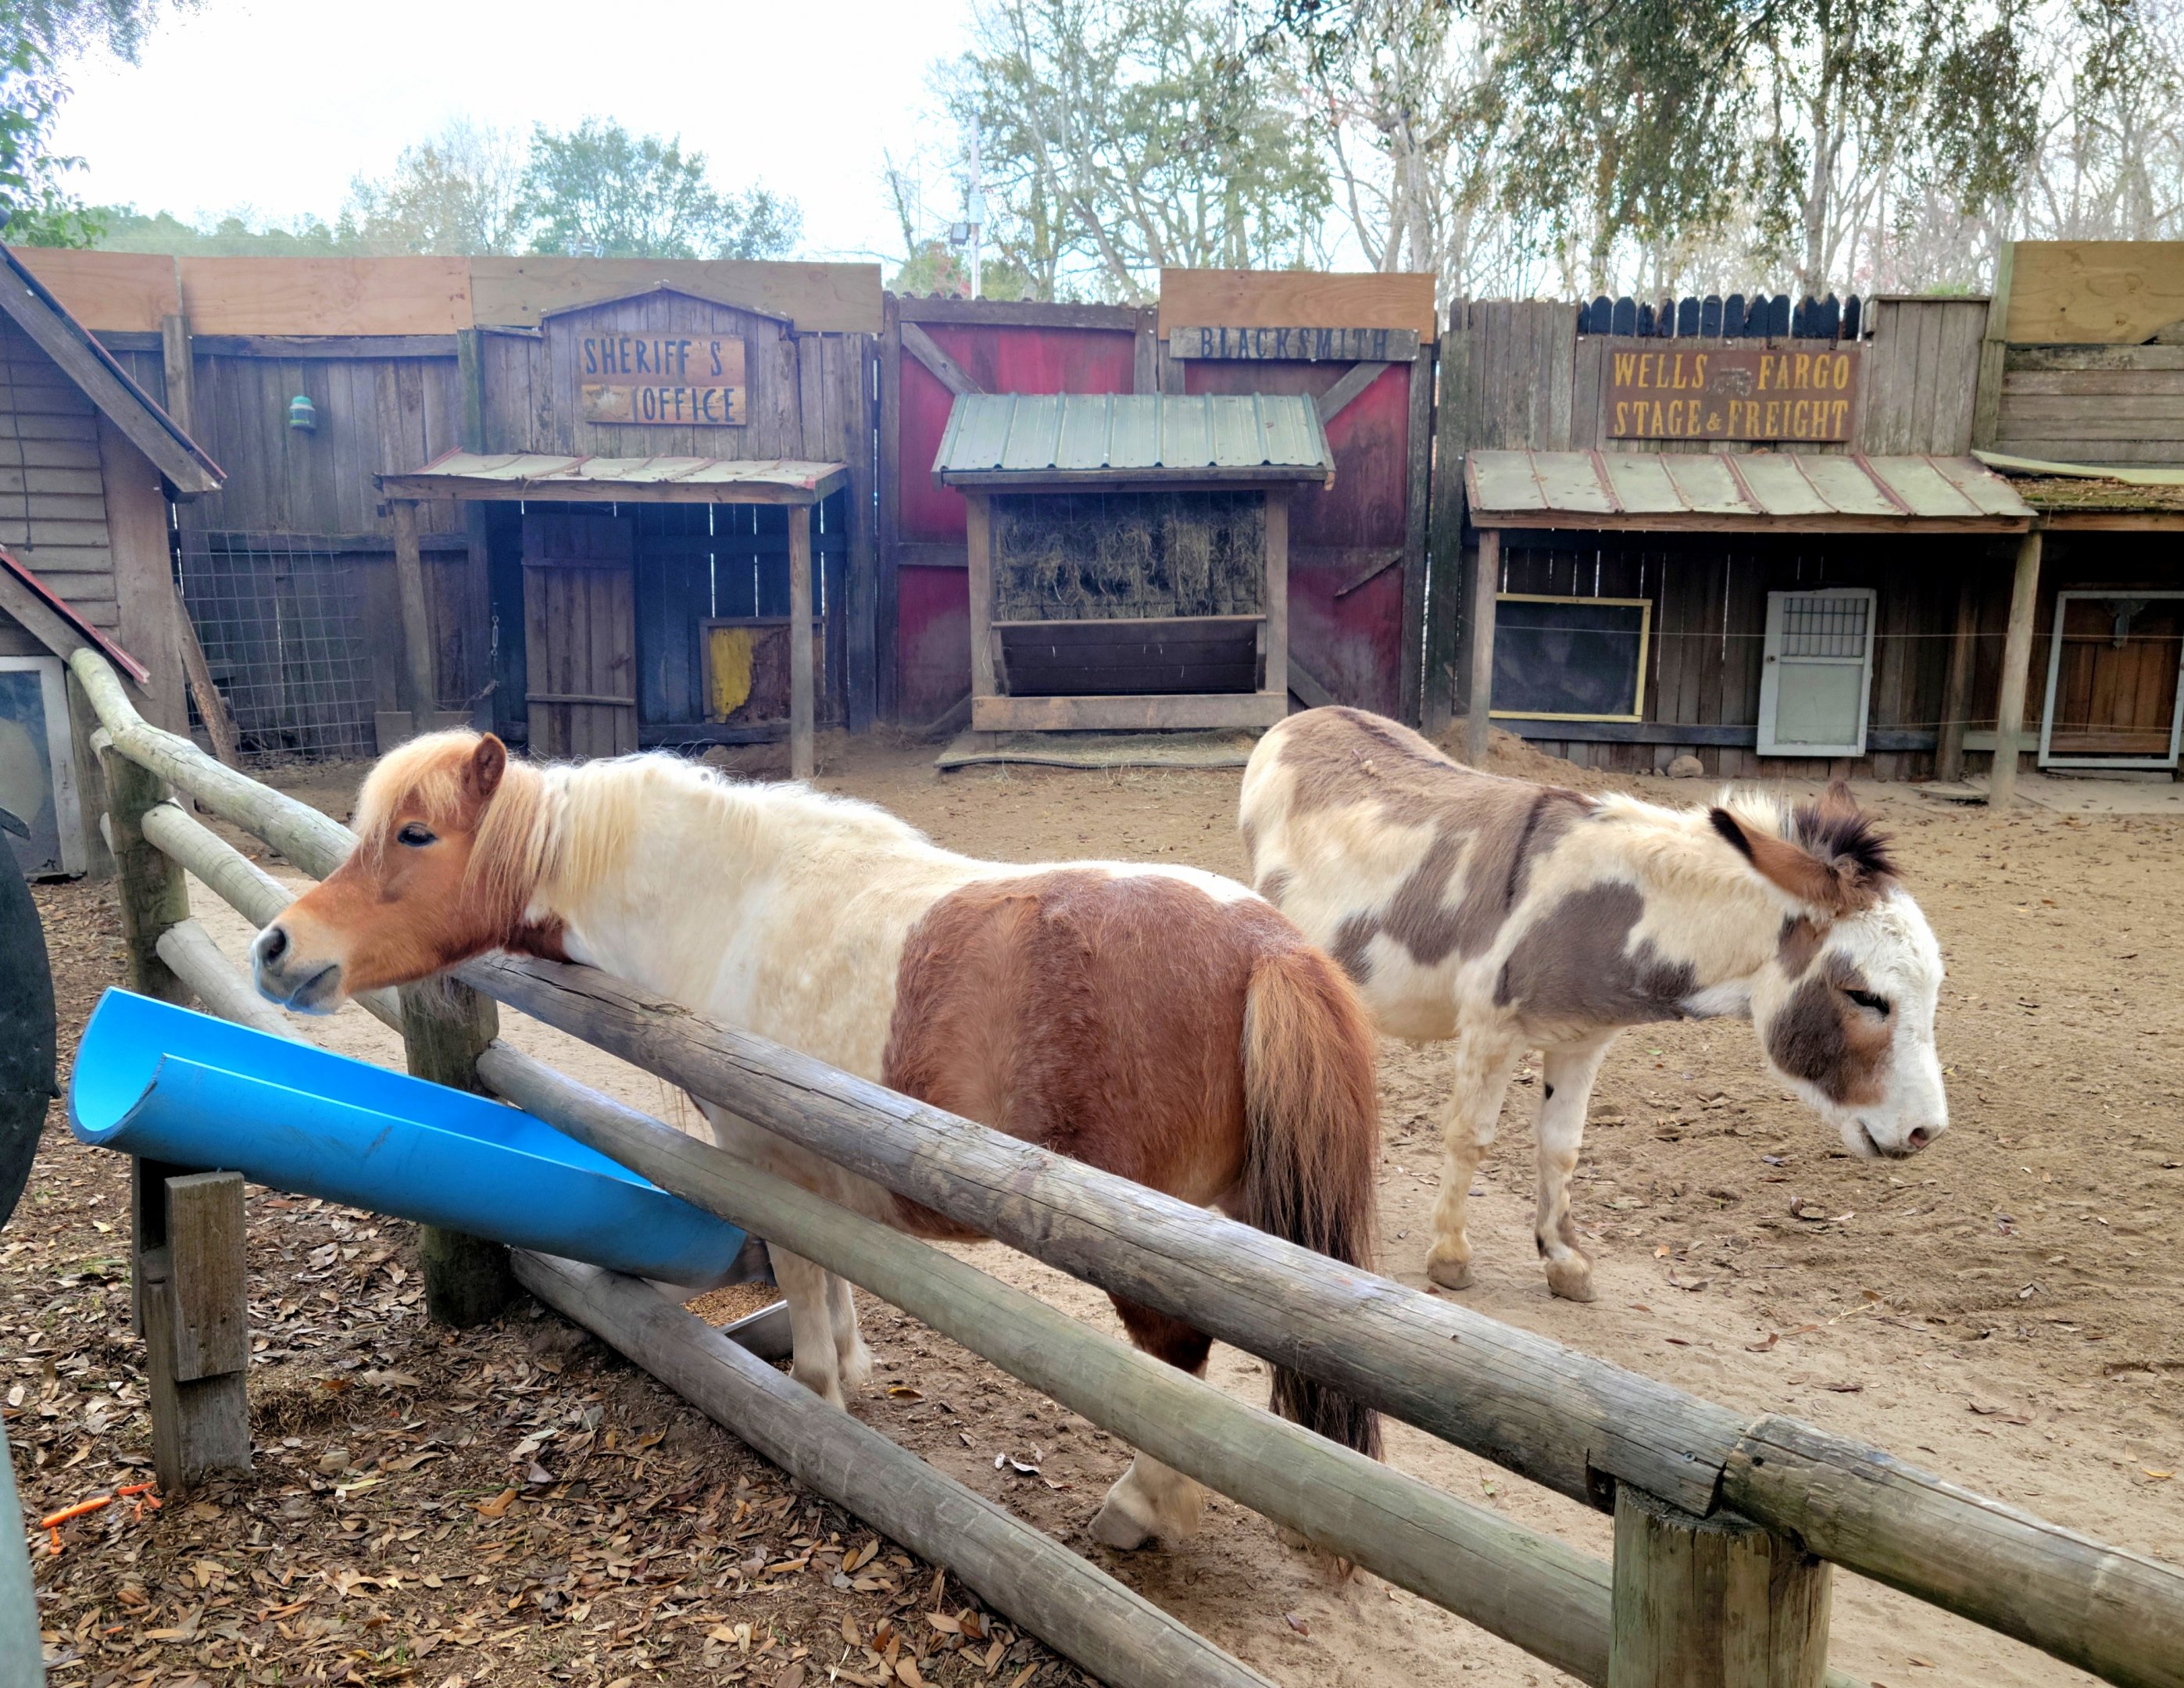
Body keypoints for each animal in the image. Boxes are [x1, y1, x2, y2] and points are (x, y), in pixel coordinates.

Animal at [251, 731, 1382, 1552]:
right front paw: (848, 1373)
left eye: (414, 835)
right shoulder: (820, 1167)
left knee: (1173, 1375)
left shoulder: (770, 1165)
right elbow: (833, 1282)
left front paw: (817, 1401)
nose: (278, 946)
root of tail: (1270, 947)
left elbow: (801, 1281)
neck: (726, 901)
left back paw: (1140, 1514)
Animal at [1239, 706, 1947, 1303]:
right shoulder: (1490, 1030)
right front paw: (1449, 1257)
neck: (1608, 910)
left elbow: (1562, 1147)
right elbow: (1471, 1136)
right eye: (1865, 997)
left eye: (1932, 990)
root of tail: (1306, 716)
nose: (1926, 1133)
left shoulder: (1583, 1042)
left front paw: (1563, 1261)